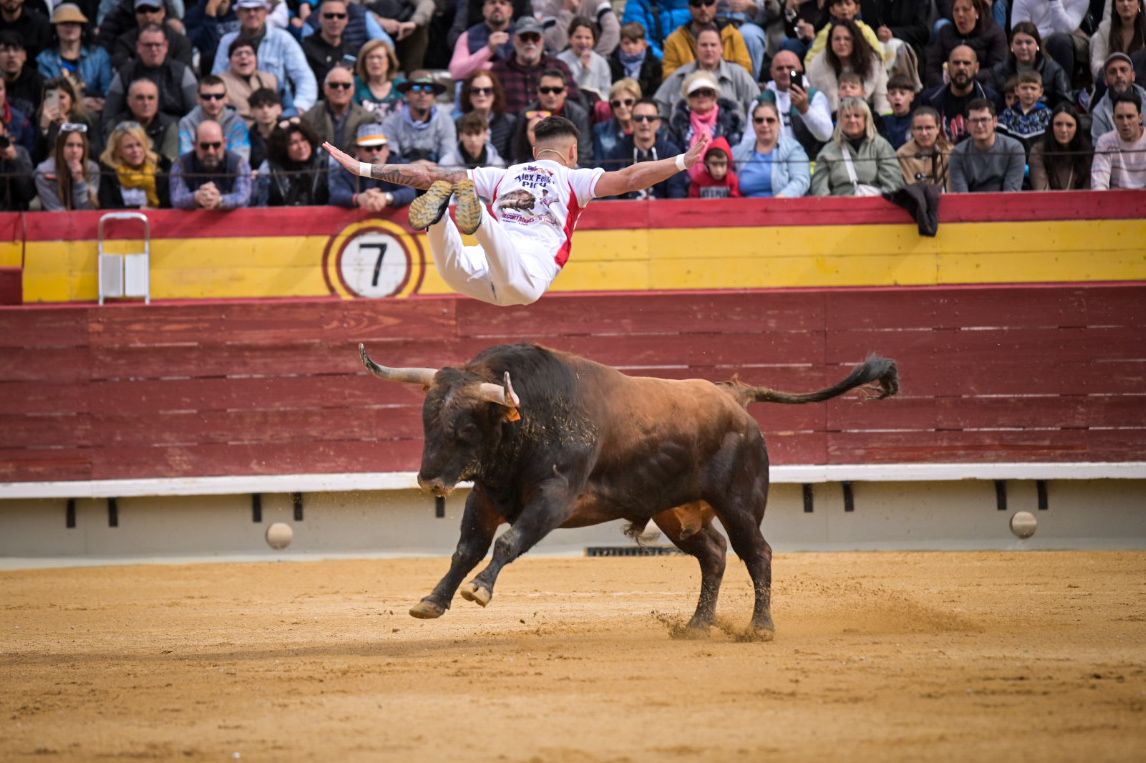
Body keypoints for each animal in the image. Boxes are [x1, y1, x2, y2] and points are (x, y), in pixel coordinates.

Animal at [357, 339, 893, 636]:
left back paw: (760, 628)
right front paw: (432, 601)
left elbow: (508, 541)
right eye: (427, 420)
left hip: (740, 502)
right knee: (715, 554)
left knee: (756, 553)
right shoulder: (487, 496)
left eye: (467, 427)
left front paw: (480, 591)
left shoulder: (553, 498)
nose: (429, 480)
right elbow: (466, 549)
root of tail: (733, 397)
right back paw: (697, 626)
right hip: (675, 513)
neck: (527, 417)